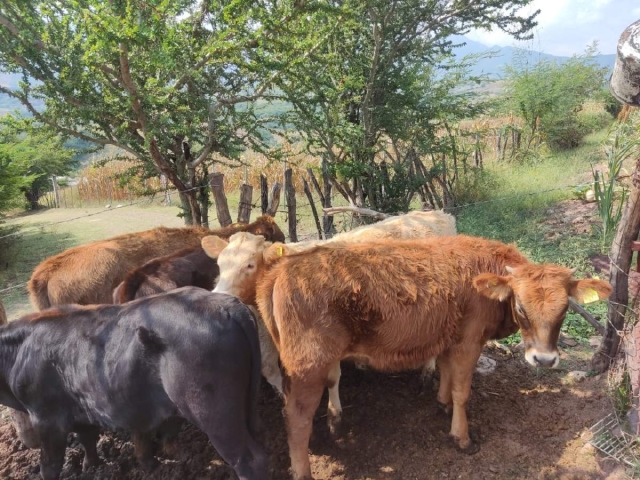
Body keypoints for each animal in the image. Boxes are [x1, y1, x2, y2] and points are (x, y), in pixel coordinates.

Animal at [0, 286, 266, 480]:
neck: (20, 349)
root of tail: (225, 306)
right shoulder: (81, 408)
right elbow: (88, 439)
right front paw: (91, 466)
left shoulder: (46, 419)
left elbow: (50, 465)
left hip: (216, 415)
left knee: (249, 461)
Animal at [204, 231, 608, 478]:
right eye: (521, 307)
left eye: (565, 309)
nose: (544, 360)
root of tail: (284, 266)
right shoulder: (469, 341)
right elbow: (463, 390)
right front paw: (461, 436)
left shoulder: (448, 336)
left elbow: (446, 375)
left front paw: (442, 403)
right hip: (309, 366)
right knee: (297, 419)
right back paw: (303, 467)